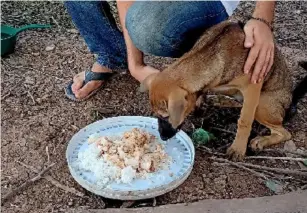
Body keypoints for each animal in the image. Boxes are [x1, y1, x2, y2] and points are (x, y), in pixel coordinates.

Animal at [141, 20, 306, 160]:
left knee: (285, 133)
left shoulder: (253, 85)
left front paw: (238, 149)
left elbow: (244, 121)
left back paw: (261, 140)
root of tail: (291, 101)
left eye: (166, 116)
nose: (162, 137)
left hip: (262, 105)